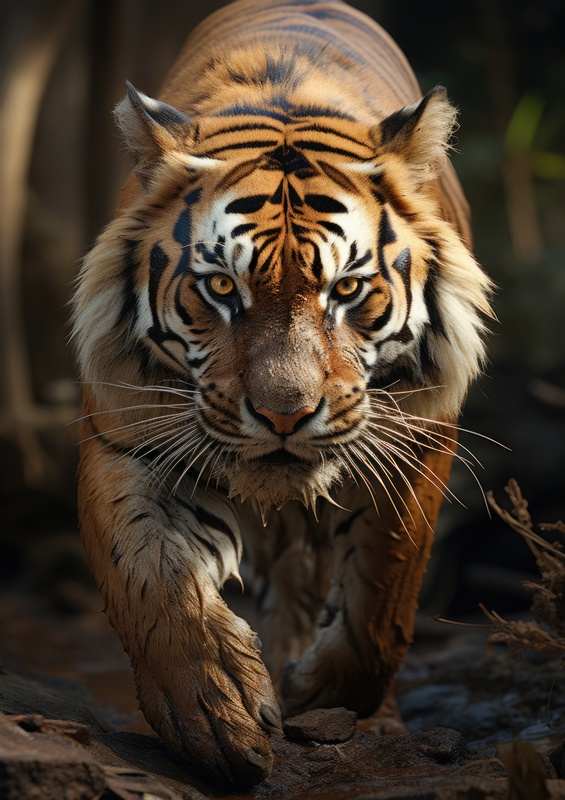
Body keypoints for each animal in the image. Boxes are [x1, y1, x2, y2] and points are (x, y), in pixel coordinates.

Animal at [73, 0, 493, 788]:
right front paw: (213, 711)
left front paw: (321, 696)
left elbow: (381, 598)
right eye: (219, 286)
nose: (283, 415)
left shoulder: (416, 442)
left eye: (348, 289)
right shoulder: (130, 436)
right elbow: (150, 577)